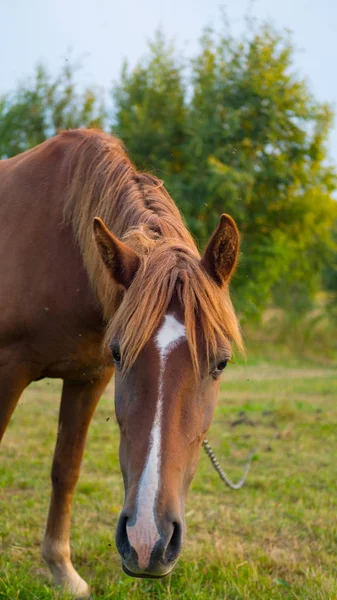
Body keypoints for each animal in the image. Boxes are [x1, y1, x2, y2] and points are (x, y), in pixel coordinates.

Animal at [0, 129, 242, 596]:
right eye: (120, 352)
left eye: (221, 363)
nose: (148, 542)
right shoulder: (8, 369)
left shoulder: (88, 378)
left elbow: (66, 469)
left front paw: (62, 570)